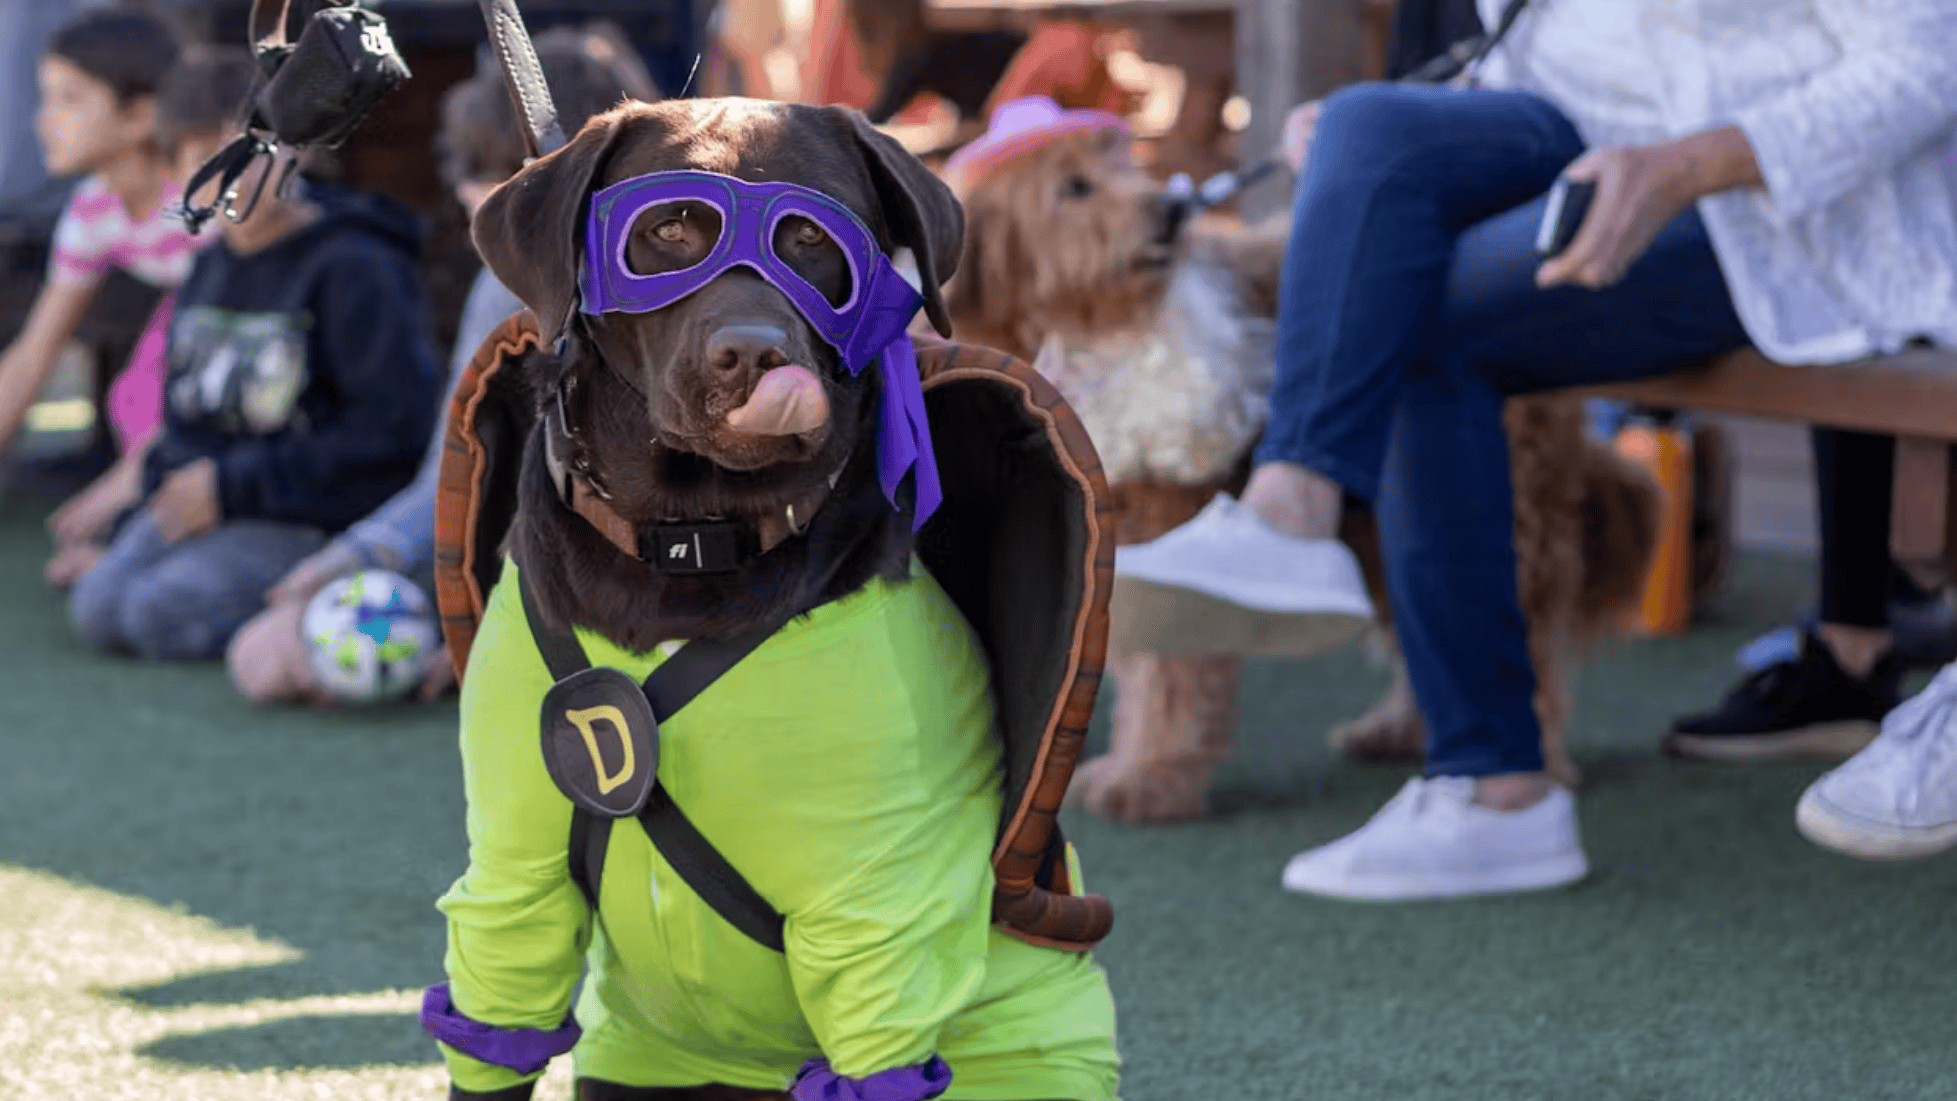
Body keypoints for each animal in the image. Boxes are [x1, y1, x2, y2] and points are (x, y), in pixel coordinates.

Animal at [939, 127, 1659, 817]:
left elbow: (1166, 675)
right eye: (1074, 187)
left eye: (1128, 166)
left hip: (1501, 505)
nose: (1171, 210)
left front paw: (1147, 776)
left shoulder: (1164, 535)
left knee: (1514, 635)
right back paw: (1402, 731)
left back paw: (1534, 761)